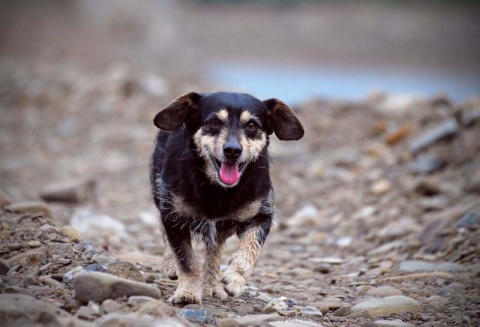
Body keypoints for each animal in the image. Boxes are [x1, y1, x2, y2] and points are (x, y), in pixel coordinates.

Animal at [151, 91, 304, 304]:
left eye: (252, 125)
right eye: (214, 122)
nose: (232, 150)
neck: (218, 190)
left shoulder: (261, 215)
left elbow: (251, 247)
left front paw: (235, 278)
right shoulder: (173, 214)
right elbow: (185, 259)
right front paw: (187, 292)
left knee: (215, 250)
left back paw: (212, 285)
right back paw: (171, 266)